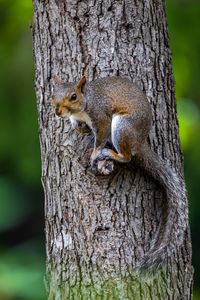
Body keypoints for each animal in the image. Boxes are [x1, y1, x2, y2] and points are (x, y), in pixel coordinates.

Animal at [52, 75, 187, 270]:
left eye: (73, 96)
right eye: (53, 94)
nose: (57, 111)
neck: (86, 102)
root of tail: (140, 143)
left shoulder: (101, 117)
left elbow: (100, 137)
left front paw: (95, 153)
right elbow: (78, 125)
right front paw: (78, 127)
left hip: (122, 127)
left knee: (127, 156)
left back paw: (111, 153)